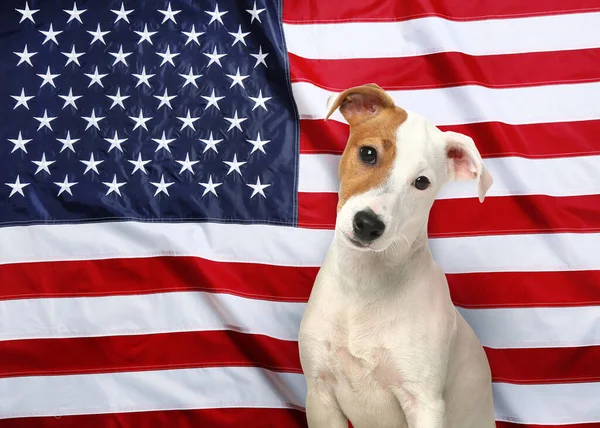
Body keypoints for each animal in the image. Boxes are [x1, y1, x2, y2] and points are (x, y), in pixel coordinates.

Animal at [296, 83, 496, 428]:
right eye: (368, 153)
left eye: (422, 183)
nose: (368, 225)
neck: (364, 285)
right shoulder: (320, 393)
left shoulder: (425, 404)